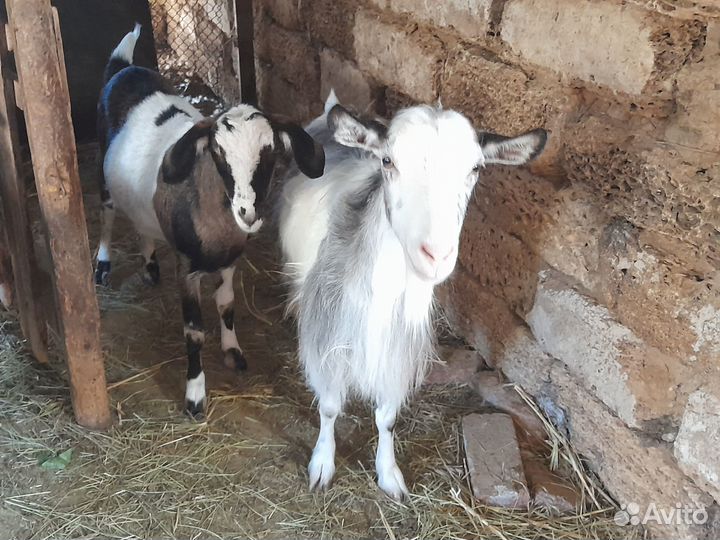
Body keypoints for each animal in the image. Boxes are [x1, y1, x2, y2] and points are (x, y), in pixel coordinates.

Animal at [96, 25, 325, 416]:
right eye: (218, 152)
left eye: (270, 151)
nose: (248, 213)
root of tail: (124, 67)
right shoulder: (186, 269)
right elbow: (193, 332)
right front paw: (194, 395)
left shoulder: (231, 259)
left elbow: (226, 304)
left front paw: (233, 351)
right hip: (103, 172)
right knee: (107, 214)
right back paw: (103, 264)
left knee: (143, 226)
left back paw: (150, 265)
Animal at [278, 92, 547, 500]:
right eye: (388, 161)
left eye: (475, 168)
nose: (436, 255)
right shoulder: (329, 336)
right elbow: (329, 406)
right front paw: (322, 464)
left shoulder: (399, 347)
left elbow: (387, 417)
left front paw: (389, 474)